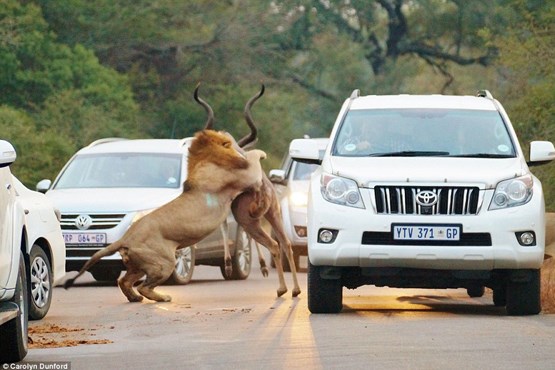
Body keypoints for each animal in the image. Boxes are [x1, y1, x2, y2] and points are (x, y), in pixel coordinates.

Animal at [63, 129, 268, 302]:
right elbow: (254, 159)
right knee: (143, 287)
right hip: (165, 262)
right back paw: (162, 297)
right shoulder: (247, 176)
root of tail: (126, 238)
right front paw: (260, 153)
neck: (204, 160)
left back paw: (135, 298)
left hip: (139, 265)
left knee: (124, 281)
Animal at [194, 84, 302, 298]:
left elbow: (224, 226)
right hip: (273, 214)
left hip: (249, 218)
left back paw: (281, 288)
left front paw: (229, 266)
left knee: (273, 244)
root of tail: (262, 188)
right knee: (286, 243)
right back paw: (295, 290)